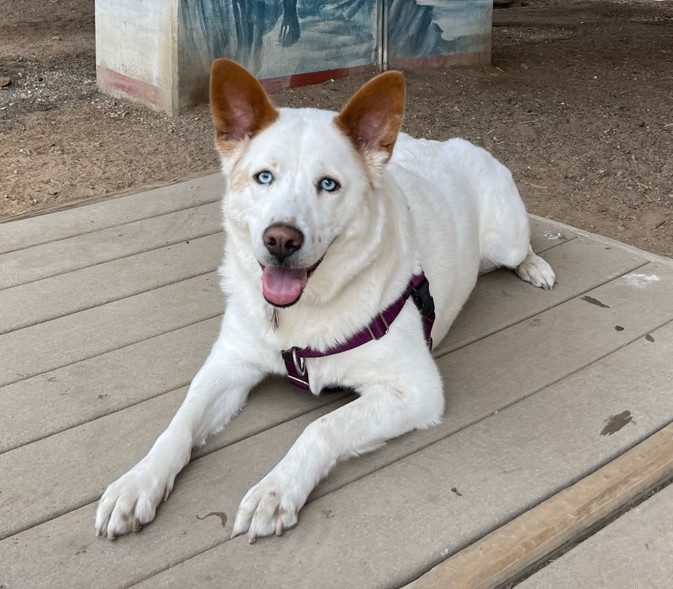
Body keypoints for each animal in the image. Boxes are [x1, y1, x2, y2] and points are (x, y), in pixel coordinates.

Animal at [96, 57, 556, 540]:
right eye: (264, 177)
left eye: (329, 184)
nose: (280, 240)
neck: (300, 315)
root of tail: (456, 143)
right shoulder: (229, 363)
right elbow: (178, 424)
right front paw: (138, 481)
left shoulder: (416, 389)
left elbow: (321, 427)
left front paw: (276, 489)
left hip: (506, 238)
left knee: (522, 248)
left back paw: (535, 267)